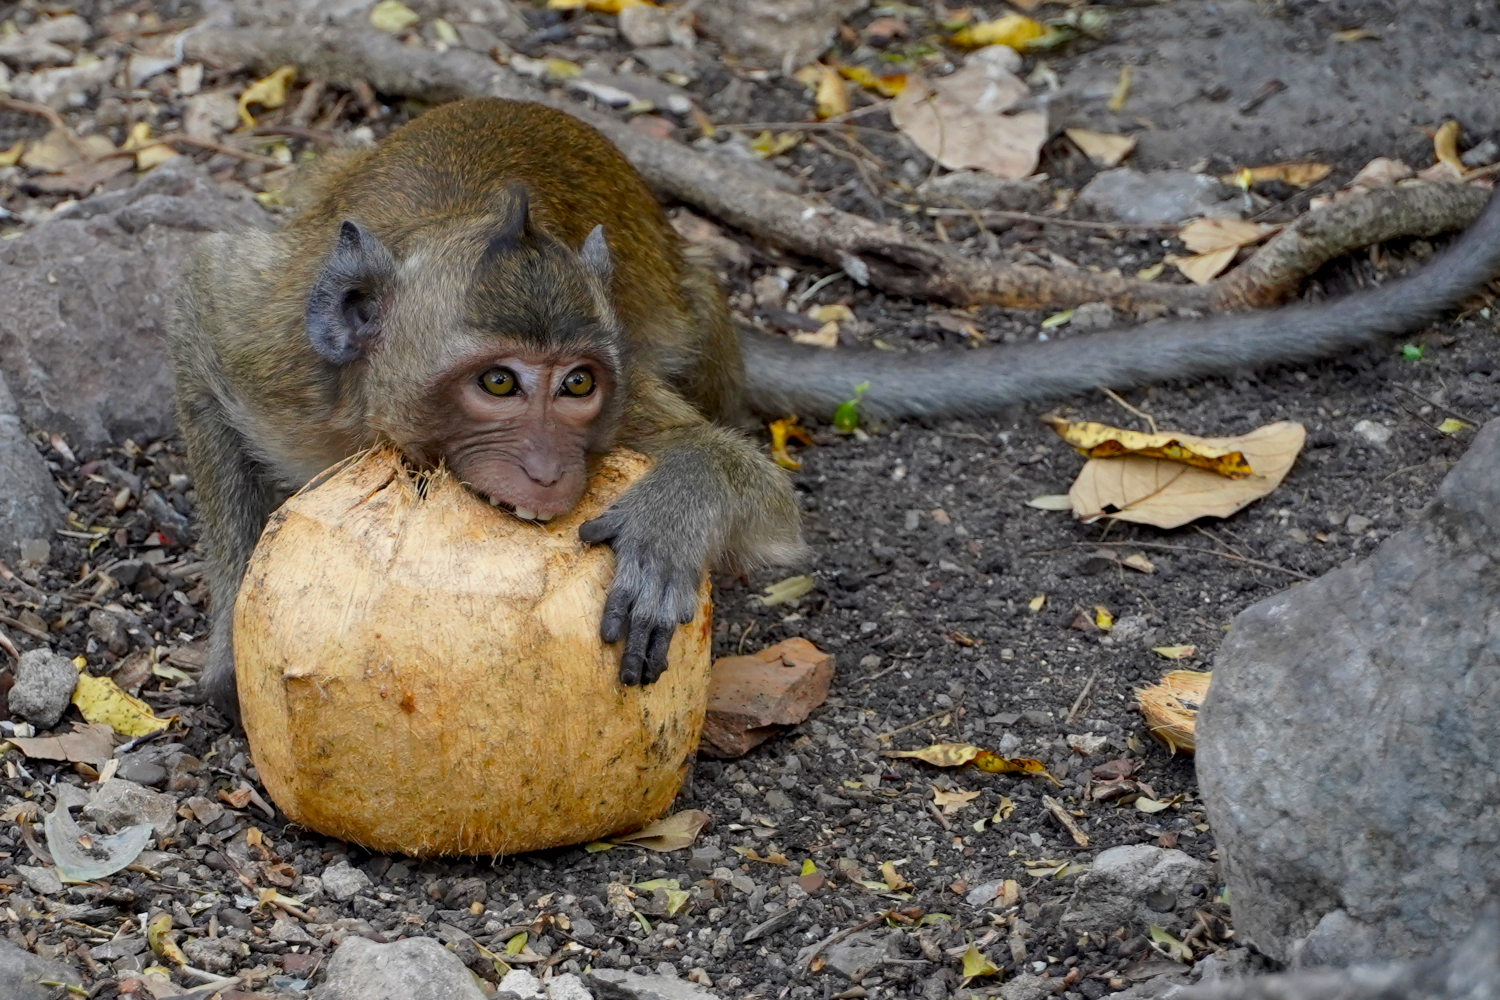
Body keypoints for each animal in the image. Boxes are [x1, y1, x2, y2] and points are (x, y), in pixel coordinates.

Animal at [169, 96, 1500, 723]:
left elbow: (756, 491)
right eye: (498, 383)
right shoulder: (275, 348)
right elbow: (198, 333)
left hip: (684, 342)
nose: (550, 468)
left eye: (575, 385)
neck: (372, 418)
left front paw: (675, 522)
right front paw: (230, 639)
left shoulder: (631, 412)